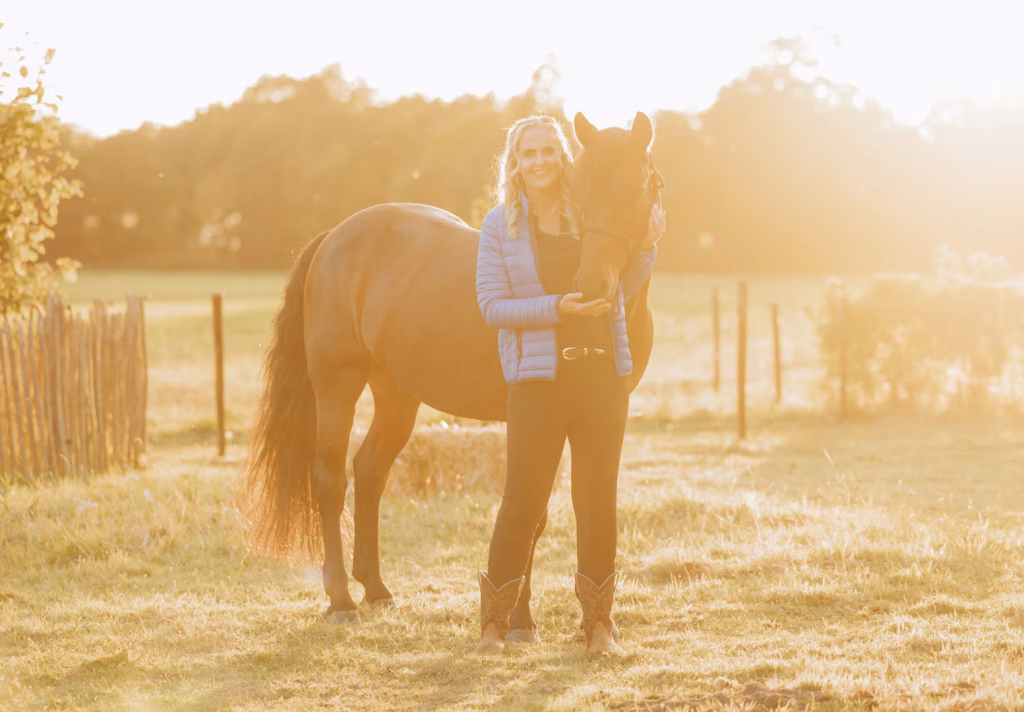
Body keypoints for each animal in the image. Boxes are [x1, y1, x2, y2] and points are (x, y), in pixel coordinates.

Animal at [241, 111, 663, 630]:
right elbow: (529, 508)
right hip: (337, 387)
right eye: (580, 188)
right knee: (331, 480)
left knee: (370, 470)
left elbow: (537, 511)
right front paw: (518, 617)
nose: (590, 286)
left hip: (397, 395)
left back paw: (376, 587)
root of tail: (335, 237)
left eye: (637, 188)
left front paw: (519, 615)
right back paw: (341, 599)